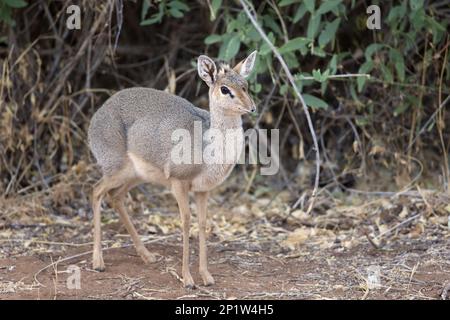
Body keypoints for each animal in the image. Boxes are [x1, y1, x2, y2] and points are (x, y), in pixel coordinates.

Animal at [88, 50, 256, 288]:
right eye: (225, 89)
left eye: (245, 85)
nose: (252, 107)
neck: (208, 146)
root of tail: (98, 114)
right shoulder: (178, 183)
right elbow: (185, 221)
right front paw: (187, 279)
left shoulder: (203, 190)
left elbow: (202, 223)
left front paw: (206, 276)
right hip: (116, 170)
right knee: (96, 192)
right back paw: (98, 262)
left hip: (136, 176)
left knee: (115, 197)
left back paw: (147, 256)